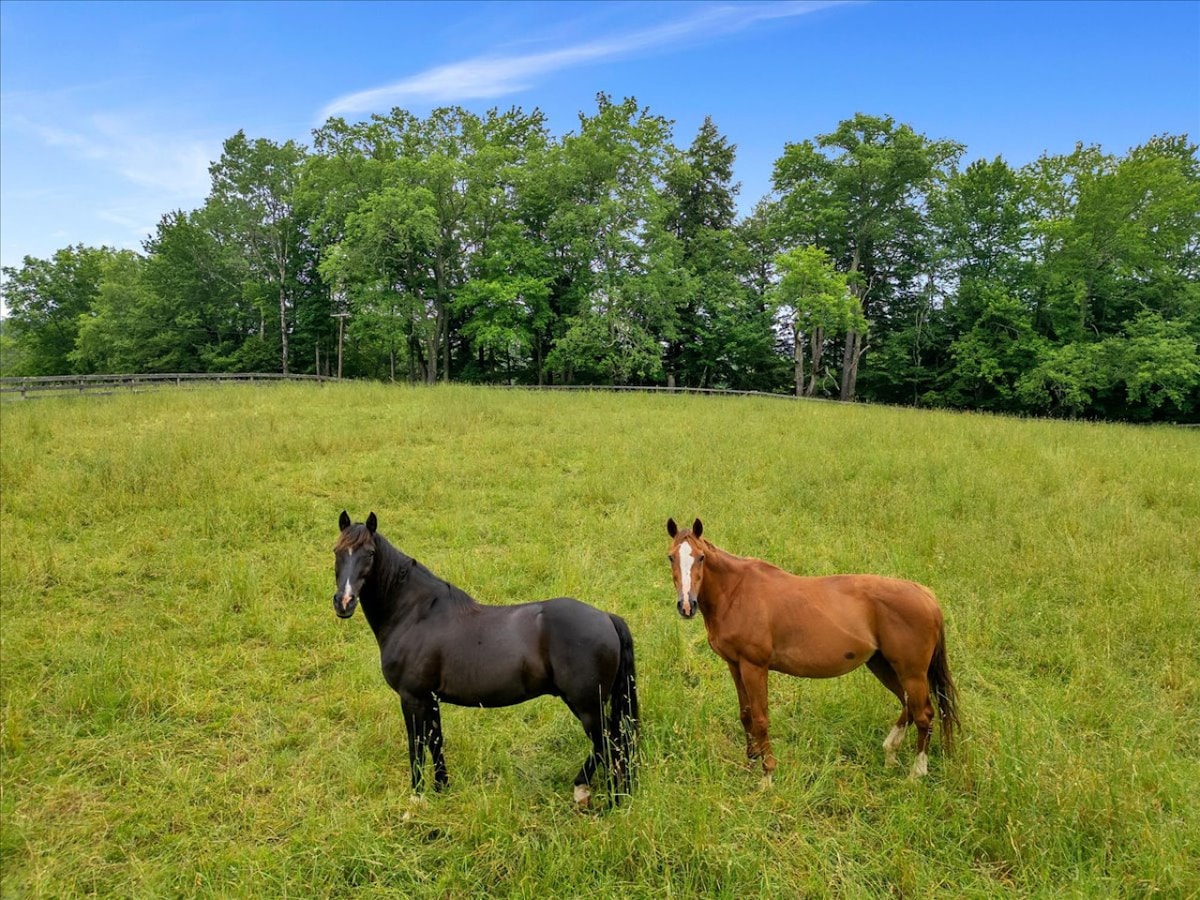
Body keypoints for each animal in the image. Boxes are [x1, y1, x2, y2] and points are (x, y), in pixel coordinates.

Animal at [332, 511, 638, 805]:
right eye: (337, 551)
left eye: (370, 553)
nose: (344, 602)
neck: (416, 613)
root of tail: (607, 617)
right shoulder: (430, 699)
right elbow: (435, 742)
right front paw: (442, 789)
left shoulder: (412, 698)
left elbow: (416, 746)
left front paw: (416, 800)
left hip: (587, 706)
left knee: (609, 744)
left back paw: (608, 799)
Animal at [665, 518, 959, 780]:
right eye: (670, 557)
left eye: (701, 557)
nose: (686, 605)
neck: (736, 591)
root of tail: (926, 596)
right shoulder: (735, 665)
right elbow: (746, 714)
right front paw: (751, 762)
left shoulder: (754, 667)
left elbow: (760, 718)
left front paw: (767, 775)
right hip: (883, 665)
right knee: (908, 705)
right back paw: (890, 753)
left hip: (912, 673)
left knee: (924, 714)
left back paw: (915, 774)